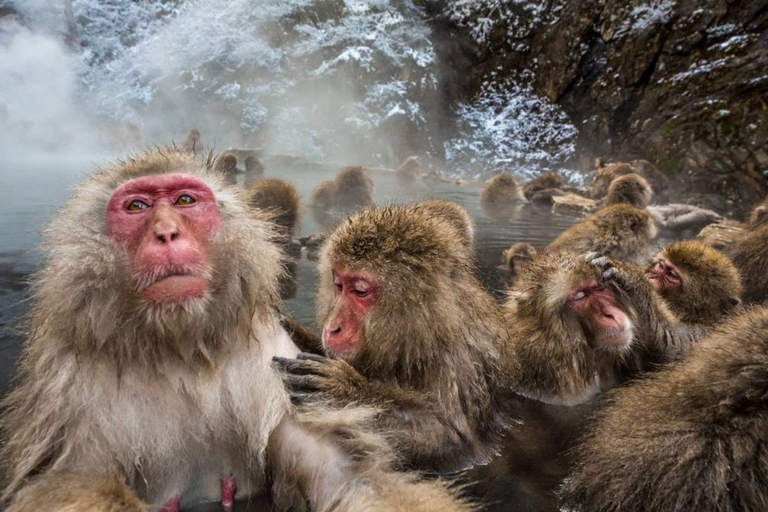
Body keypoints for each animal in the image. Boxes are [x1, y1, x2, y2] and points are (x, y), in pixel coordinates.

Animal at [0, 149, 470, 512]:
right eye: (136, 207)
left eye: (185, 200)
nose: (166, 233)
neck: (180, 349)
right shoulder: (68, 385)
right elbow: (68, 482)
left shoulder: (273, 362)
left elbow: (346, 474)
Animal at [273, 203, 512, 473]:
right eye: (339, 285)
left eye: (360, 291)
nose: (332, 328)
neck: (424, 334)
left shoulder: (458, 364)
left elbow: (454, 443)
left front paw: (346, 394)